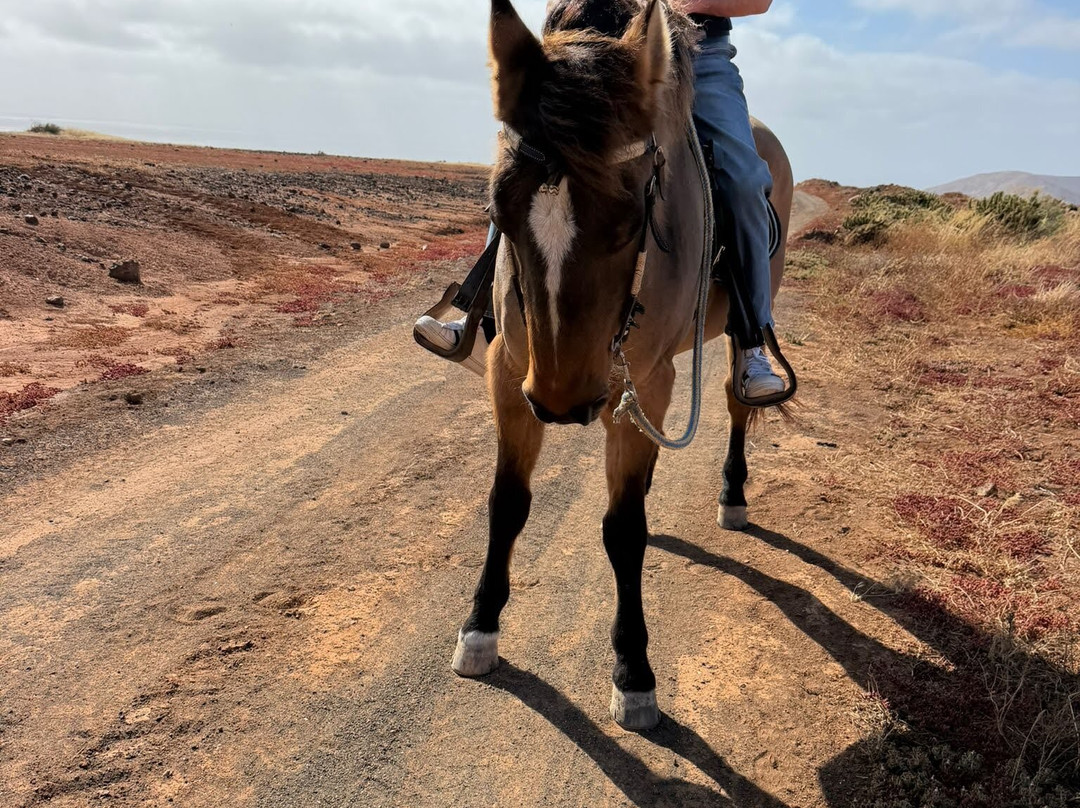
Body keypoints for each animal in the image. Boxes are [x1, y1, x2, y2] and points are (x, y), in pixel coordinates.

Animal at [451, 0, 793, 731]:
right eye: (497, 208)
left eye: (635, 211)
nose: (561, 401)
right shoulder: (509, 374)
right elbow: (507, 503)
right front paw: (480, 626)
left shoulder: (650, 381)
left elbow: (624, 531)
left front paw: (634, 671)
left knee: (735, 401)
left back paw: (732, 492)